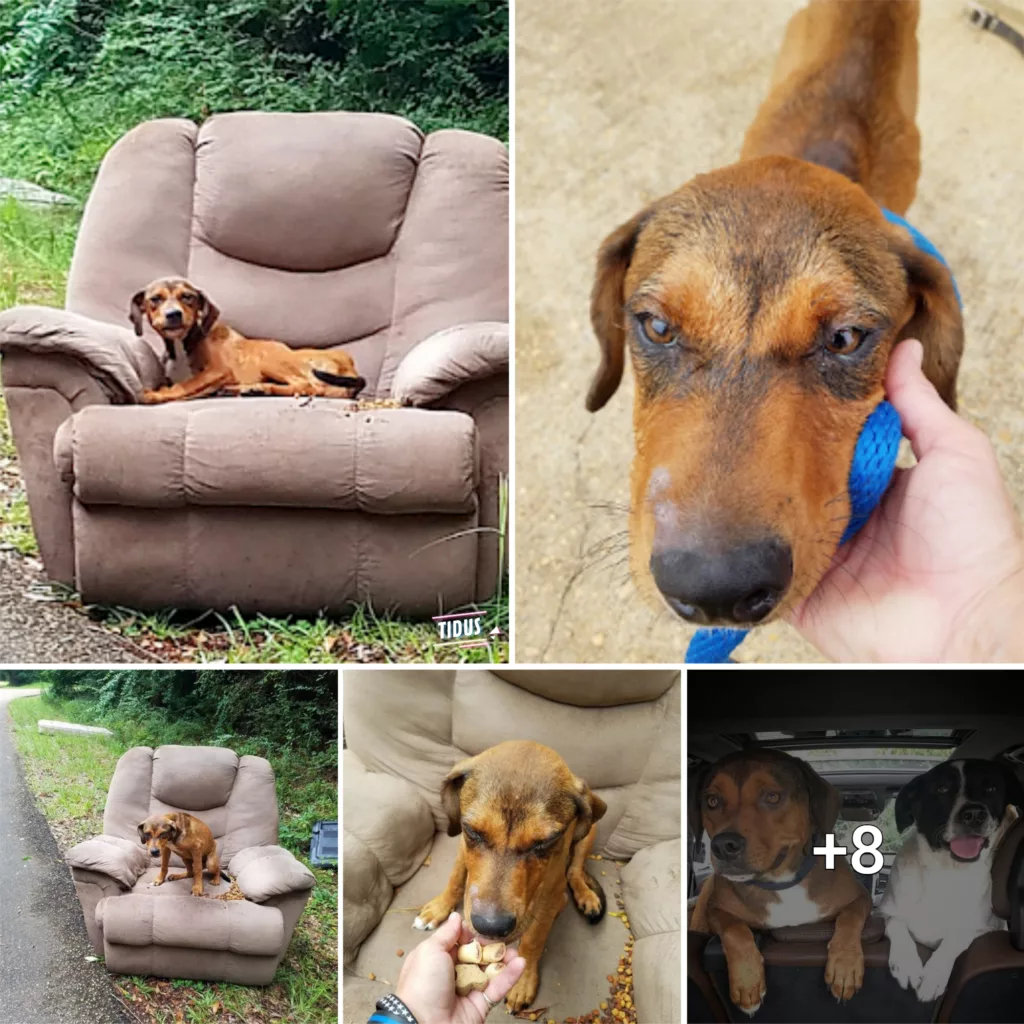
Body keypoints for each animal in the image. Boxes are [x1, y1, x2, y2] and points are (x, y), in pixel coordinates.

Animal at [130, 276, 366, 403]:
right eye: (155, 299)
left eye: (187, 297)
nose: (174, 315)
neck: (184, 343)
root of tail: (349, 366)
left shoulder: (219, 371)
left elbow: (187, 384)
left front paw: (156, 395)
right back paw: (248, 389)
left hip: (269, 357)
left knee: (307, 385)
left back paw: (258, 389)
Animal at [413, 741, 606, 1011]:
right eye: (473, 831)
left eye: (544, 842)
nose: (490, 927)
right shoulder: (463, 846)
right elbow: (456, 878)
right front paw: (439, 908)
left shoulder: (549, 889)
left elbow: (534, 939)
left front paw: (523, 982)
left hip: (588, 834)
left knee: (575, 871)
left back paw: (583, 896)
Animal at [688, 749, 872, 1019]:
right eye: (712, 801)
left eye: (772, 796)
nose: (723, 846)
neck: (781, 882)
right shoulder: (715, 909)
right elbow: (734, 929)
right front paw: (747, 982)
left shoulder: (860, 897)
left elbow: (850, 916)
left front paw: (845, 966)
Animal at [880, 761, 1024, 999]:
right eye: (942, 789)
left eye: (991, 788)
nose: (974, 814)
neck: (947, 874)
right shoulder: (888, 912)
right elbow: (897, 925)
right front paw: (907, 964)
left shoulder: (982, 930)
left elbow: (955, 939)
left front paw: (934, 976)